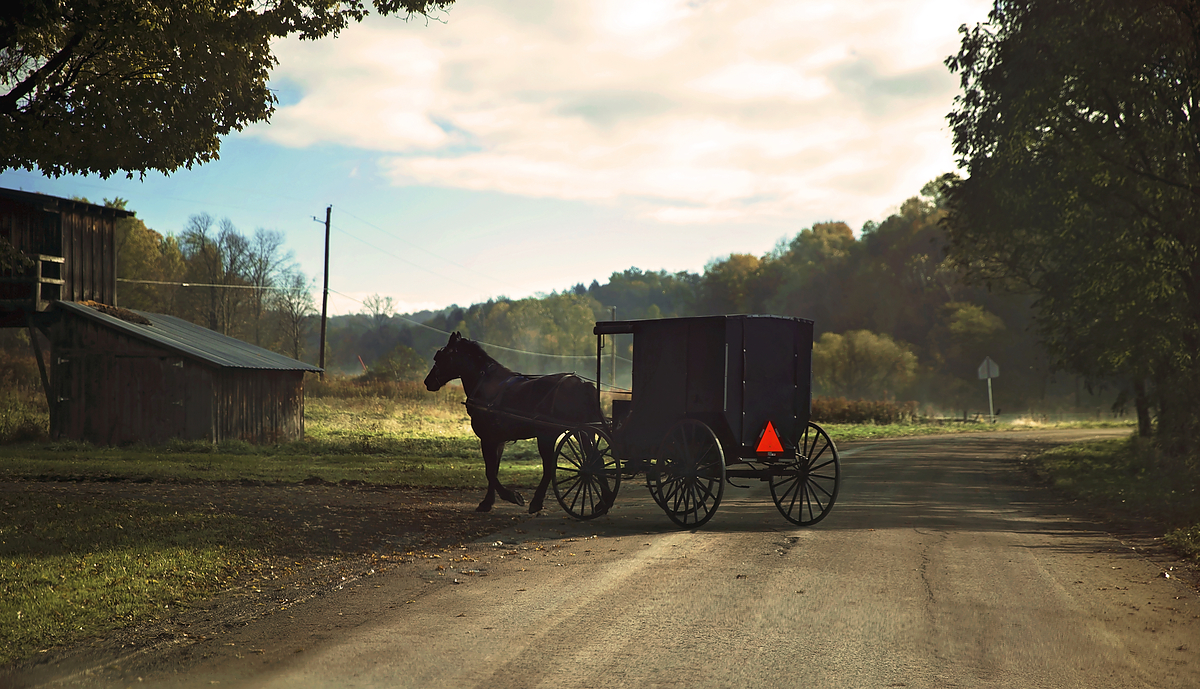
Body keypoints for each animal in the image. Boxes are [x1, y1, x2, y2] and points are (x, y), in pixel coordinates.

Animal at [424, 331, 609, 516]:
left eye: (441, 356)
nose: (428, 381)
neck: (485, 384)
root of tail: (581, 384)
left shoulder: (487, 439)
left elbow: (490, 472)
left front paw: (512, 496)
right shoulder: (498, 440)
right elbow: (494, 469)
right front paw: (487, 502)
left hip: (548, 436)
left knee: (549, 468)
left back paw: (536, 502)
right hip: (584, 431)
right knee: (597, 461)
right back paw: (603, 503)